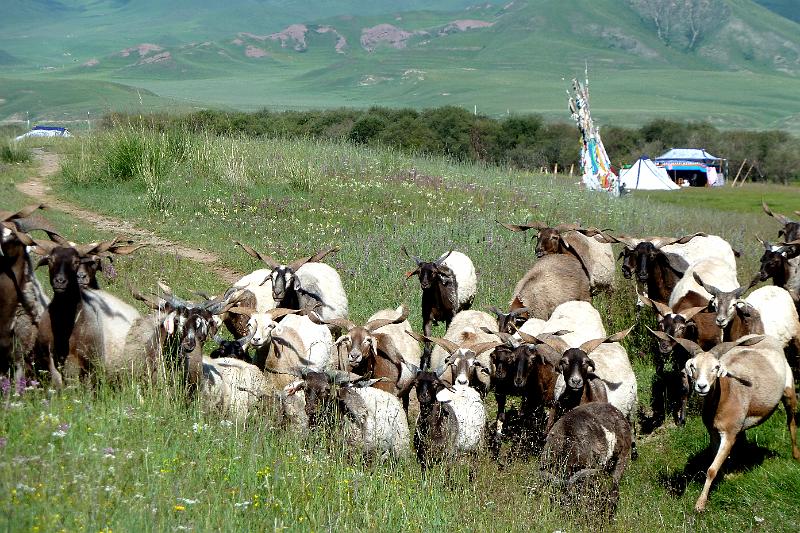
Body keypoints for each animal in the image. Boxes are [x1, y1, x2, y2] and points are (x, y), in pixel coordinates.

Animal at [676, 332, 800, 512]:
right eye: (693, 366)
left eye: (716, 367)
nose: (701, 386)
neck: (727, 393)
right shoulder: (714, 433)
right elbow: (715, 465)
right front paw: (727, 476)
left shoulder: (729, 434)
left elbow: (711, 469)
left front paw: (700, 504)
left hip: (789, 391)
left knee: (791, 422)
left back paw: (796, 456)